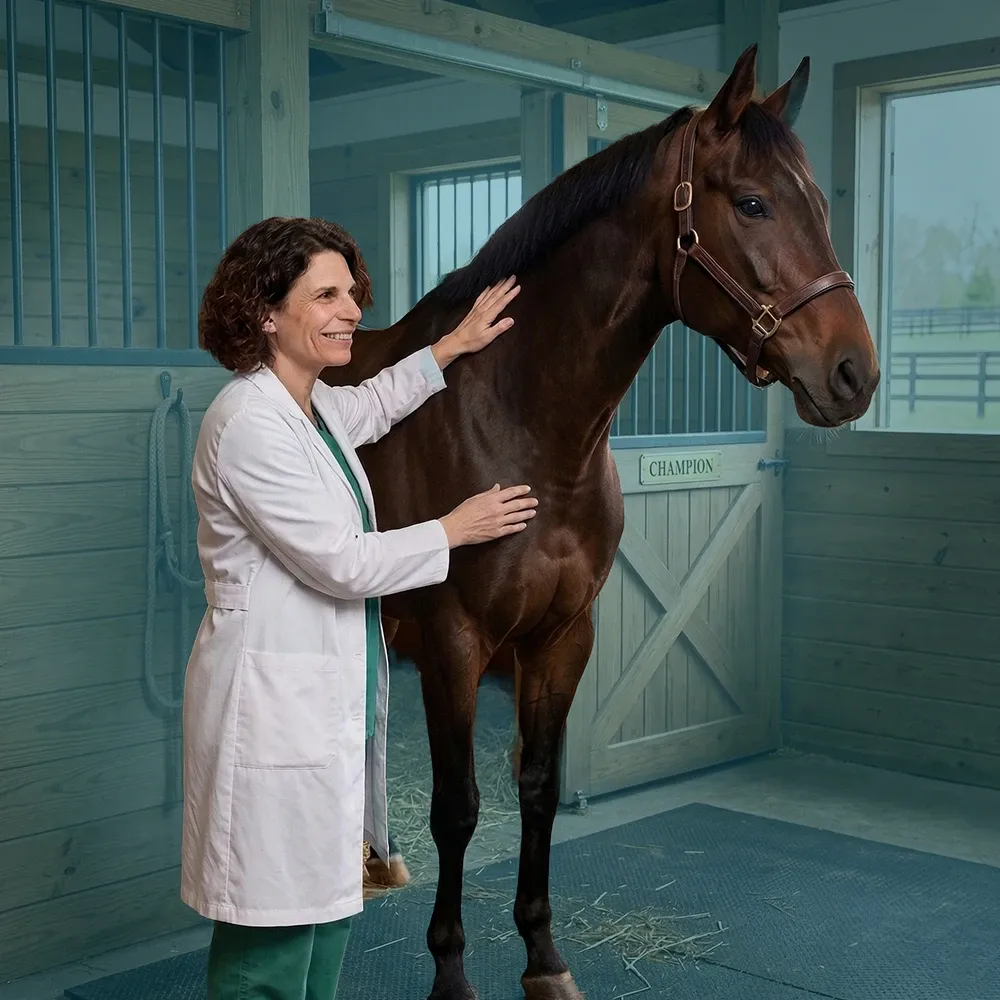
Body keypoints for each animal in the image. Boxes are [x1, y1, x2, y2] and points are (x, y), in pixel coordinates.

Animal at [322, 44, 880, 1000]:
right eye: (754, 202)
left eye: (818, 202)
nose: (855, 372)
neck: (522, 422)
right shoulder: (456, 640)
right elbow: (459, 807)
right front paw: (451, 971)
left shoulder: (563, 637)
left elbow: (539, 789)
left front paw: (544, 958)